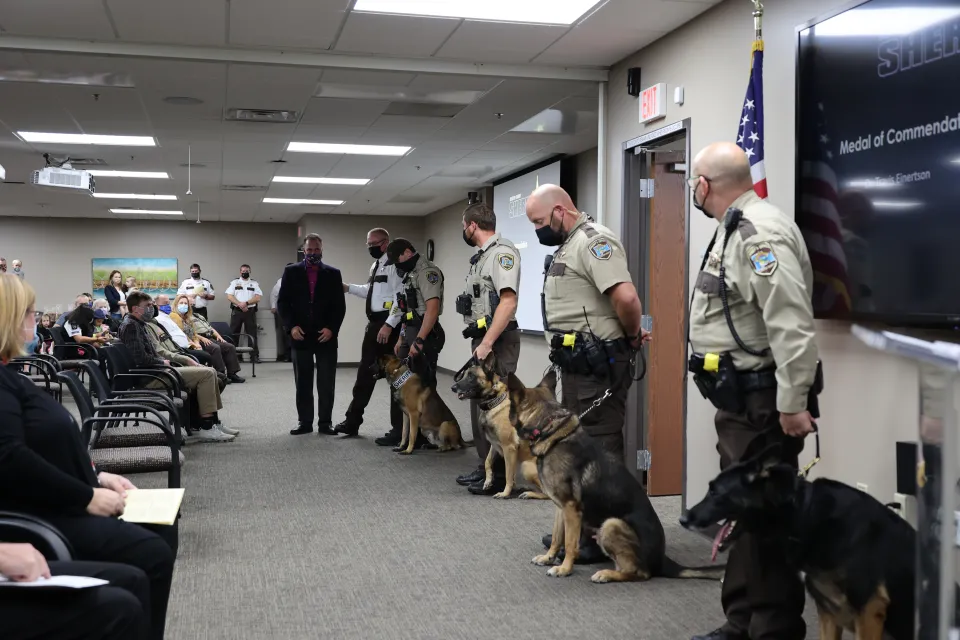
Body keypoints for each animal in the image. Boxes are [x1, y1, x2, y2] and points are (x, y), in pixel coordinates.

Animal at [450, 356, 548, 500]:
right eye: (464, 375)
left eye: (471, 376)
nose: (453, 387)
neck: (495, 402)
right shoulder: (495, 445)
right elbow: (487, 462)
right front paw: (488, 481)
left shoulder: (509, 448)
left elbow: (508, 474)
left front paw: (505, 493)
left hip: (526, 467)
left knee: (547, 493)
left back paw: (528, 493)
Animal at [510, 376, 720, 584]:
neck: (550, 432)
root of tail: (662, 561)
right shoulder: (561, 508)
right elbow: (556, 537)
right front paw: (549, 558)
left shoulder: (571, 509)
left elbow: (569, 543)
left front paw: (564, 568)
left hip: (611, 524)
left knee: (641, 573)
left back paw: (607, 574)